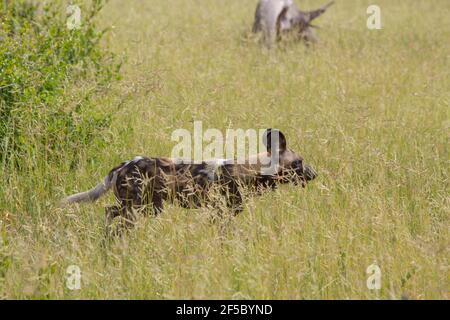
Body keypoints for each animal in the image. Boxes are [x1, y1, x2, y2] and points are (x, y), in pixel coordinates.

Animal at [62, 128, 316, 235]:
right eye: (299, 162)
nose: (314, 174)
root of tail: (123, 164)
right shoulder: (219, 213)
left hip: (146, 207)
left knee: (109, 211)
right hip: (138, 208)